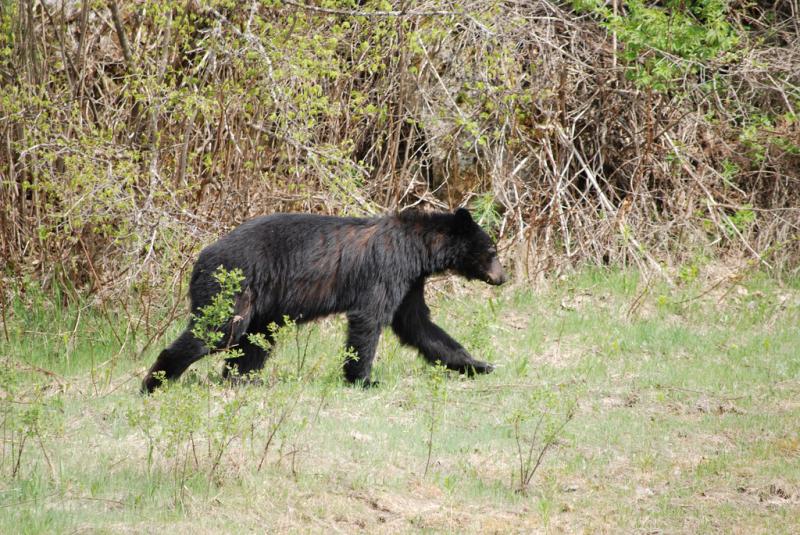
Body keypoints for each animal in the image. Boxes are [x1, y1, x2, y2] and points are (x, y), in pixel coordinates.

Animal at [142, 207, 506, 392]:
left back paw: (245, 380)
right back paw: (154, 381)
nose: (502, 277)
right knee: (217, 331)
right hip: (233, 287)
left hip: (262, 307)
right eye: (493, 251)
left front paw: (478, 364)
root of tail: (200, 258)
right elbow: (369, 318)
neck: (418, 248)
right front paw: (364, 379)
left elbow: (419, 325)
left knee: (255, 341)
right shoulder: (387, 270)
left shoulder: (410, 282)